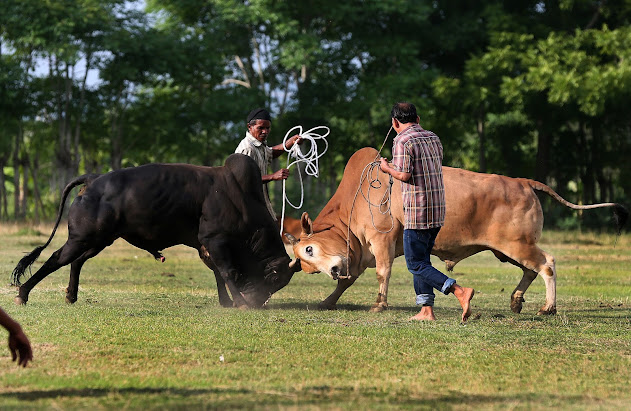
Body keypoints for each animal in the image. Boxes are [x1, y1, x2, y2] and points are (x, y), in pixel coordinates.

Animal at [11, 154, 302, 308]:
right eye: (275, 278)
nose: (257, 302)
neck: (241, 199)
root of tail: (93, 179)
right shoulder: (216, 240)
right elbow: (227, 271)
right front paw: (239, 302)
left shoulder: (206, 247)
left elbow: (219, 273)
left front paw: (228, 302)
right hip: (81, 237)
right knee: (55, 259)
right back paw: (23, 294)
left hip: (99, 240)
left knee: (76, 262)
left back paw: (71, 295)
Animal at [288, 148, 628, 316]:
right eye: (306, 265)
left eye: (310, 249)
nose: (332, 270)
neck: (357, 194)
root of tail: (523, 181)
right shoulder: (359, 254)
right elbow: (347, 282)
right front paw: (327, 301)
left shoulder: (381, 241)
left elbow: (382, 273)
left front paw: (379, 304)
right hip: (507, 250)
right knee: (531, 270)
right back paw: (516, 301)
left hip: (519, 245)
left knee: (547, 264)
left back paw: (548, 307)